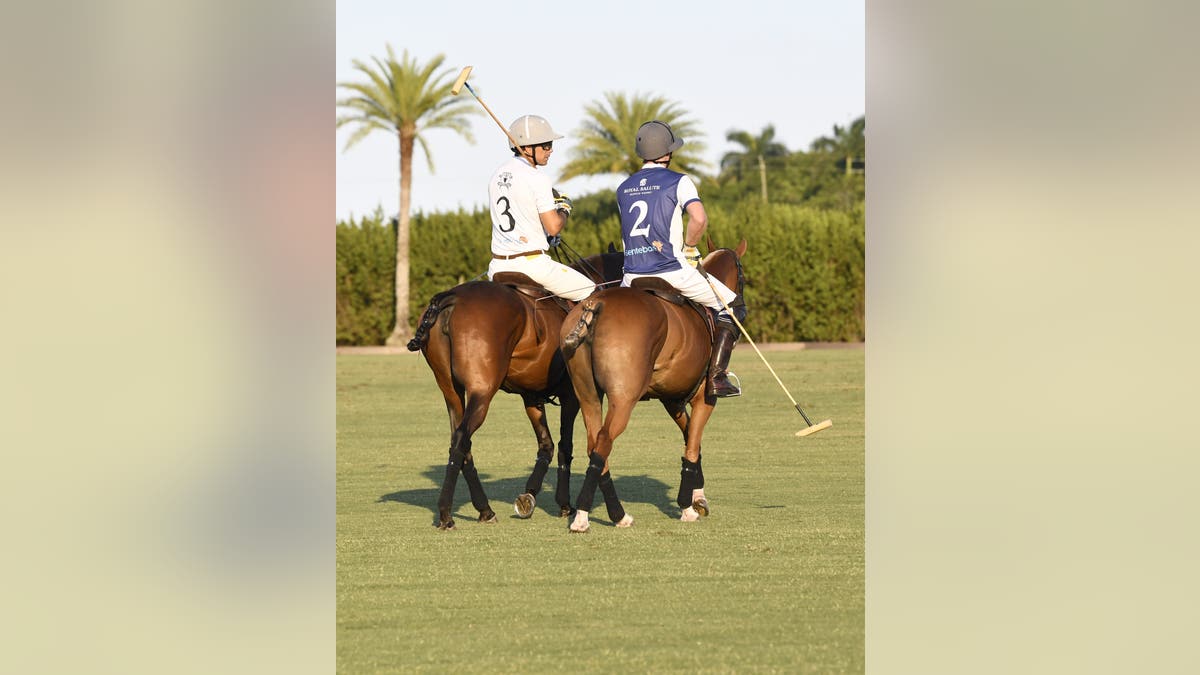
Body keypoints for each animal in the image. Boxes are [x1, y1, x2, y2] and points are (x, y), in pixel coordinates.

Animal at [408, 249, 624, 528]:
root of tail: (451, 298)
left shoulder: (531, 396)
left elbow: (546, 445)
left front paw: (529, 495)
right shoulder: (572, 395)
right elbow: (565, 446)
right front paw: (564, 504)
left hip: (450, 390)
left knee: (460, 440)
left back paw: (485, 510)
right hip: (482, 390)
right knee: (461, 440)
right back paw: (446, 513)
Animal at [556, 240, 744, 530]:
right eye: (743, 276)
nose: (741, 308)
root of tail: (595, 304)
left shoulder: (671, 399)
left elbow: (690, 439)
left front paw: (698, 497)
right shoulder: (705, 396)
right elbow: (692, 444)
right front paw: (688, 505)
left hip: (586, 393)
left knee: (593, 443)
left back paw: (616, 514)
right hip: (623, 397)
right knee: (604, 441)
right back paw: (587, 516)